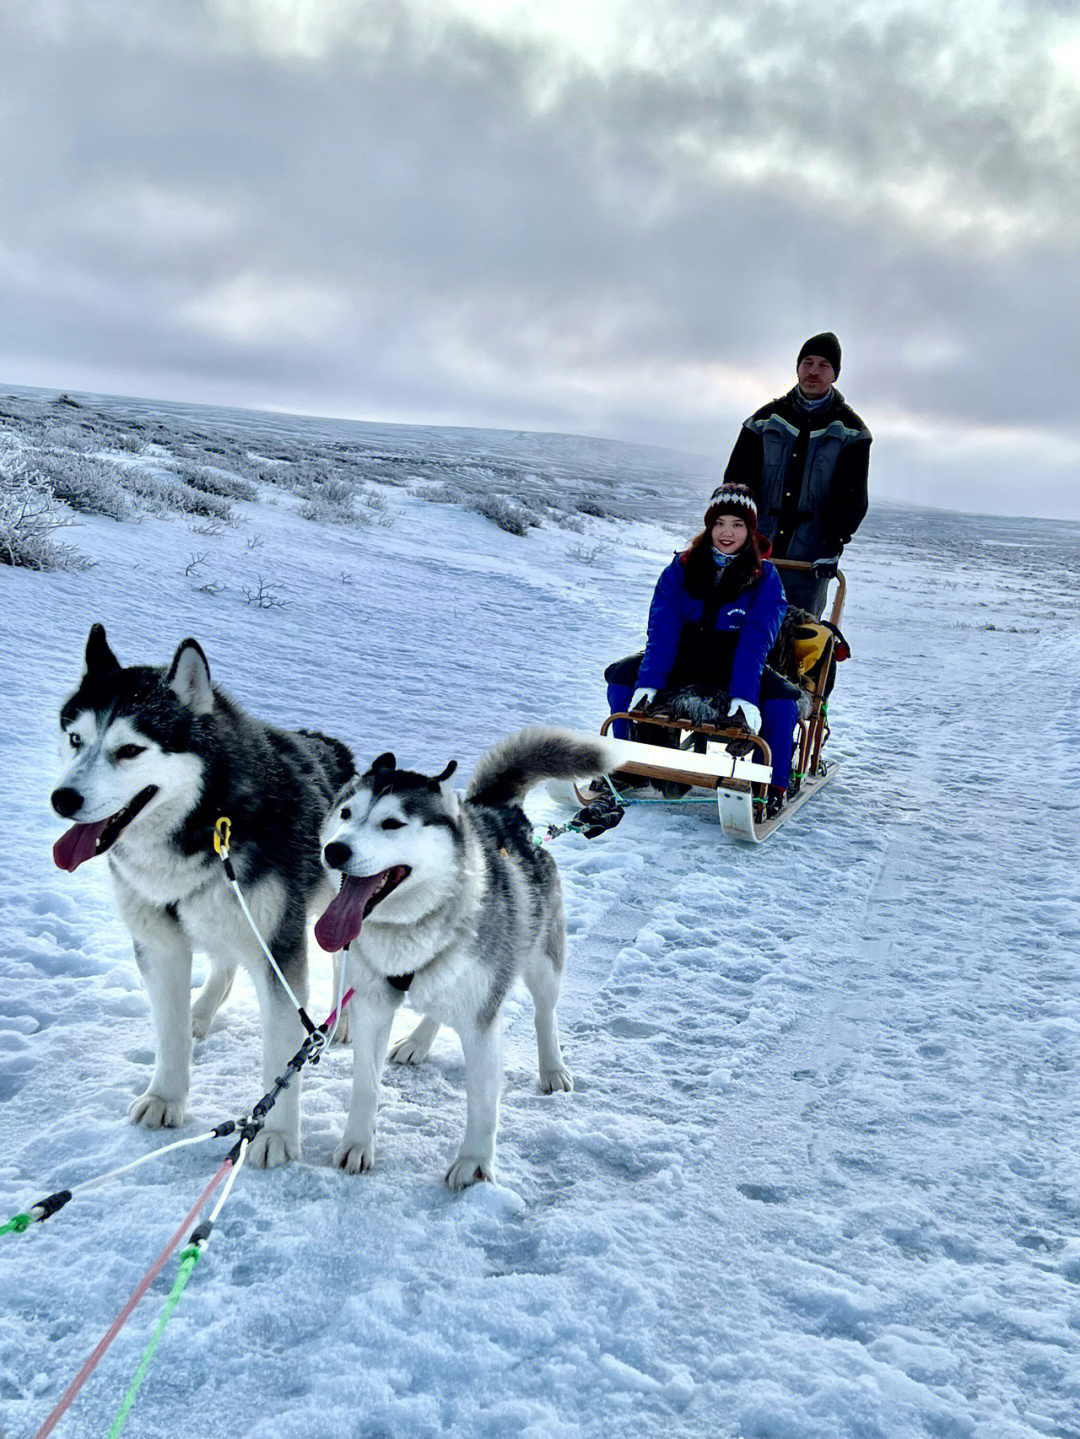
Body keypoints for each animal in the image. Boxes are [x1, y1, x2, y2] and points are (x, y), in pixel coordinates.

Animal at [51, 624, 355, 1162]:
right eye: (75, 739)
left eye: (130, 750)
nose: (62, 799)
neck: (205, 823)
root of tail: (335, 747)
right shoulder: (160, 944)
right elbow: (169, 1031)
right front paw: (165, 1097)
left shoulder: (279, 948)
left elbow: (281, 1051)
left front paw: (275, 1134)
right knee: (225, 962)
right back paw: (203, 1011)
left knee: (341, 962)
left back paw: (338, 1023)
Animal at [316, 731, 612, 1191]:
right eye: (345, 813)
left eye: (392, 824)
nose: (335, 850)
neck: (412, 928)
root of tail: (501, 811)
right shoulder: (372, 1006)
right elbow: (365, 1085)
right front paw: (357, 1143)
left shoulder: (482, 1024)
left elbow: (483, 1103)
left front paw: (473, 1165)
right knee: (437, 1008)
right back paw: (418, 1041)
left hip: (543, 962)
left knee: (545, 1014)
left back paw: (552, 1068)